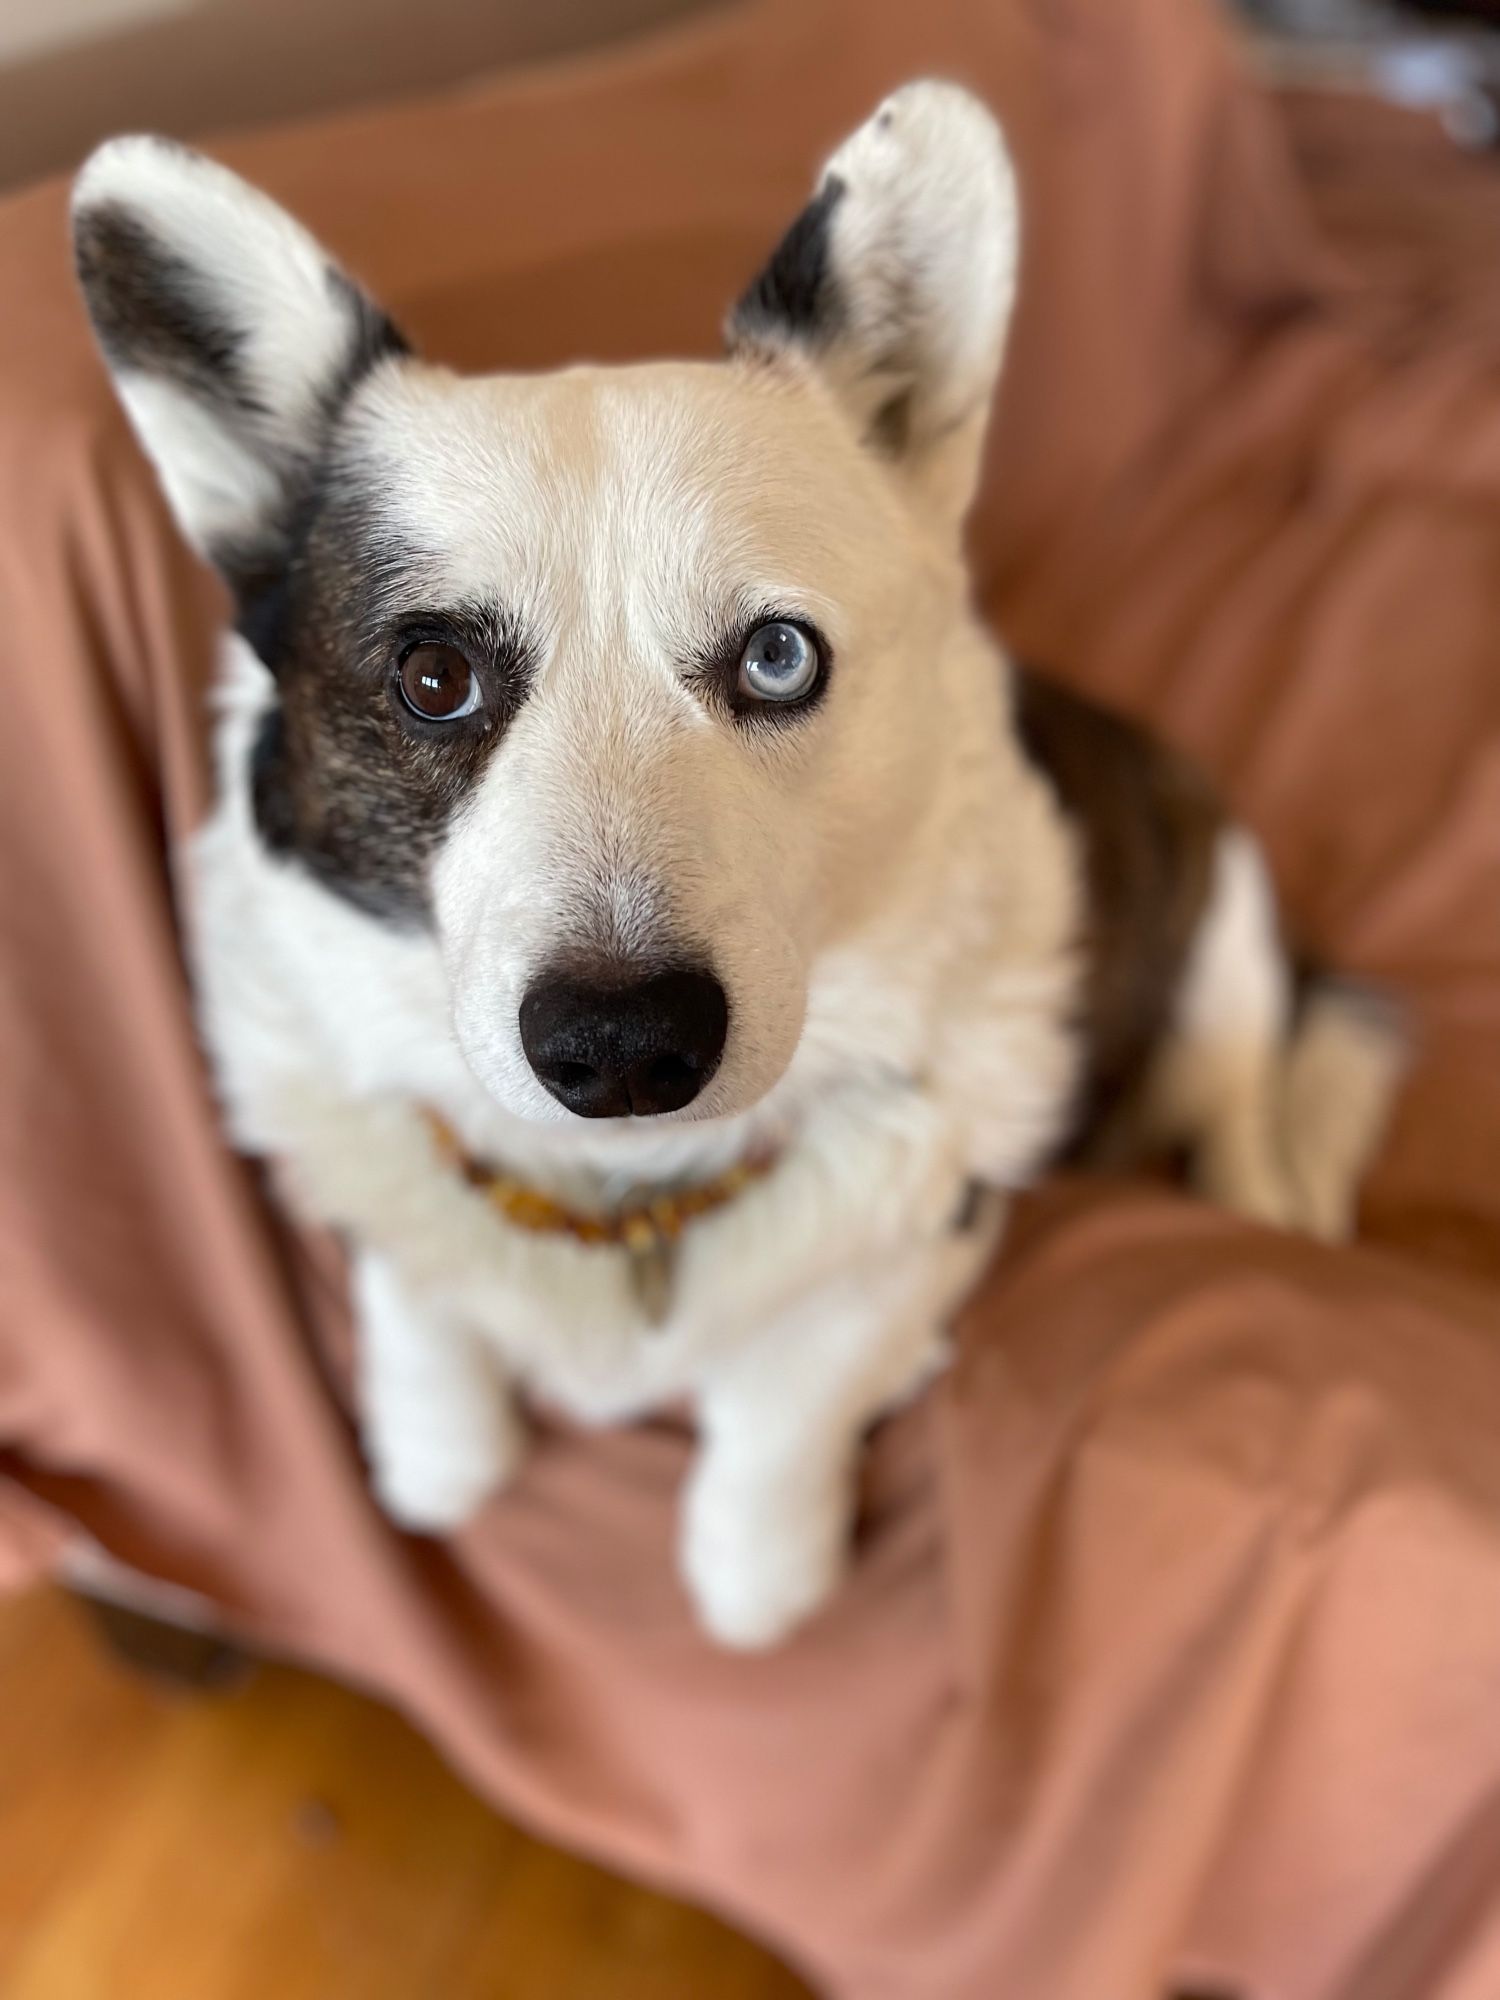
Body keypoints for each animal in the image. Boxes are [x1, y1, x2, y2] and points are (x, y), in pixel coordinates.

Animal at [73, 82, 1408, 1640]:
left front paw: (760, 1567)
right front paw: (436, 1443)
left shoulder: (918, 1234)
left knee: (1251, 1095)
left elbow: (786, 1400)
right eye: (432, 678)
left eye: (779, 658)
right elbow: (423, 1309)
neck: (624, 1192)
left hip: (1221, 931)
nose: (622, 1047)